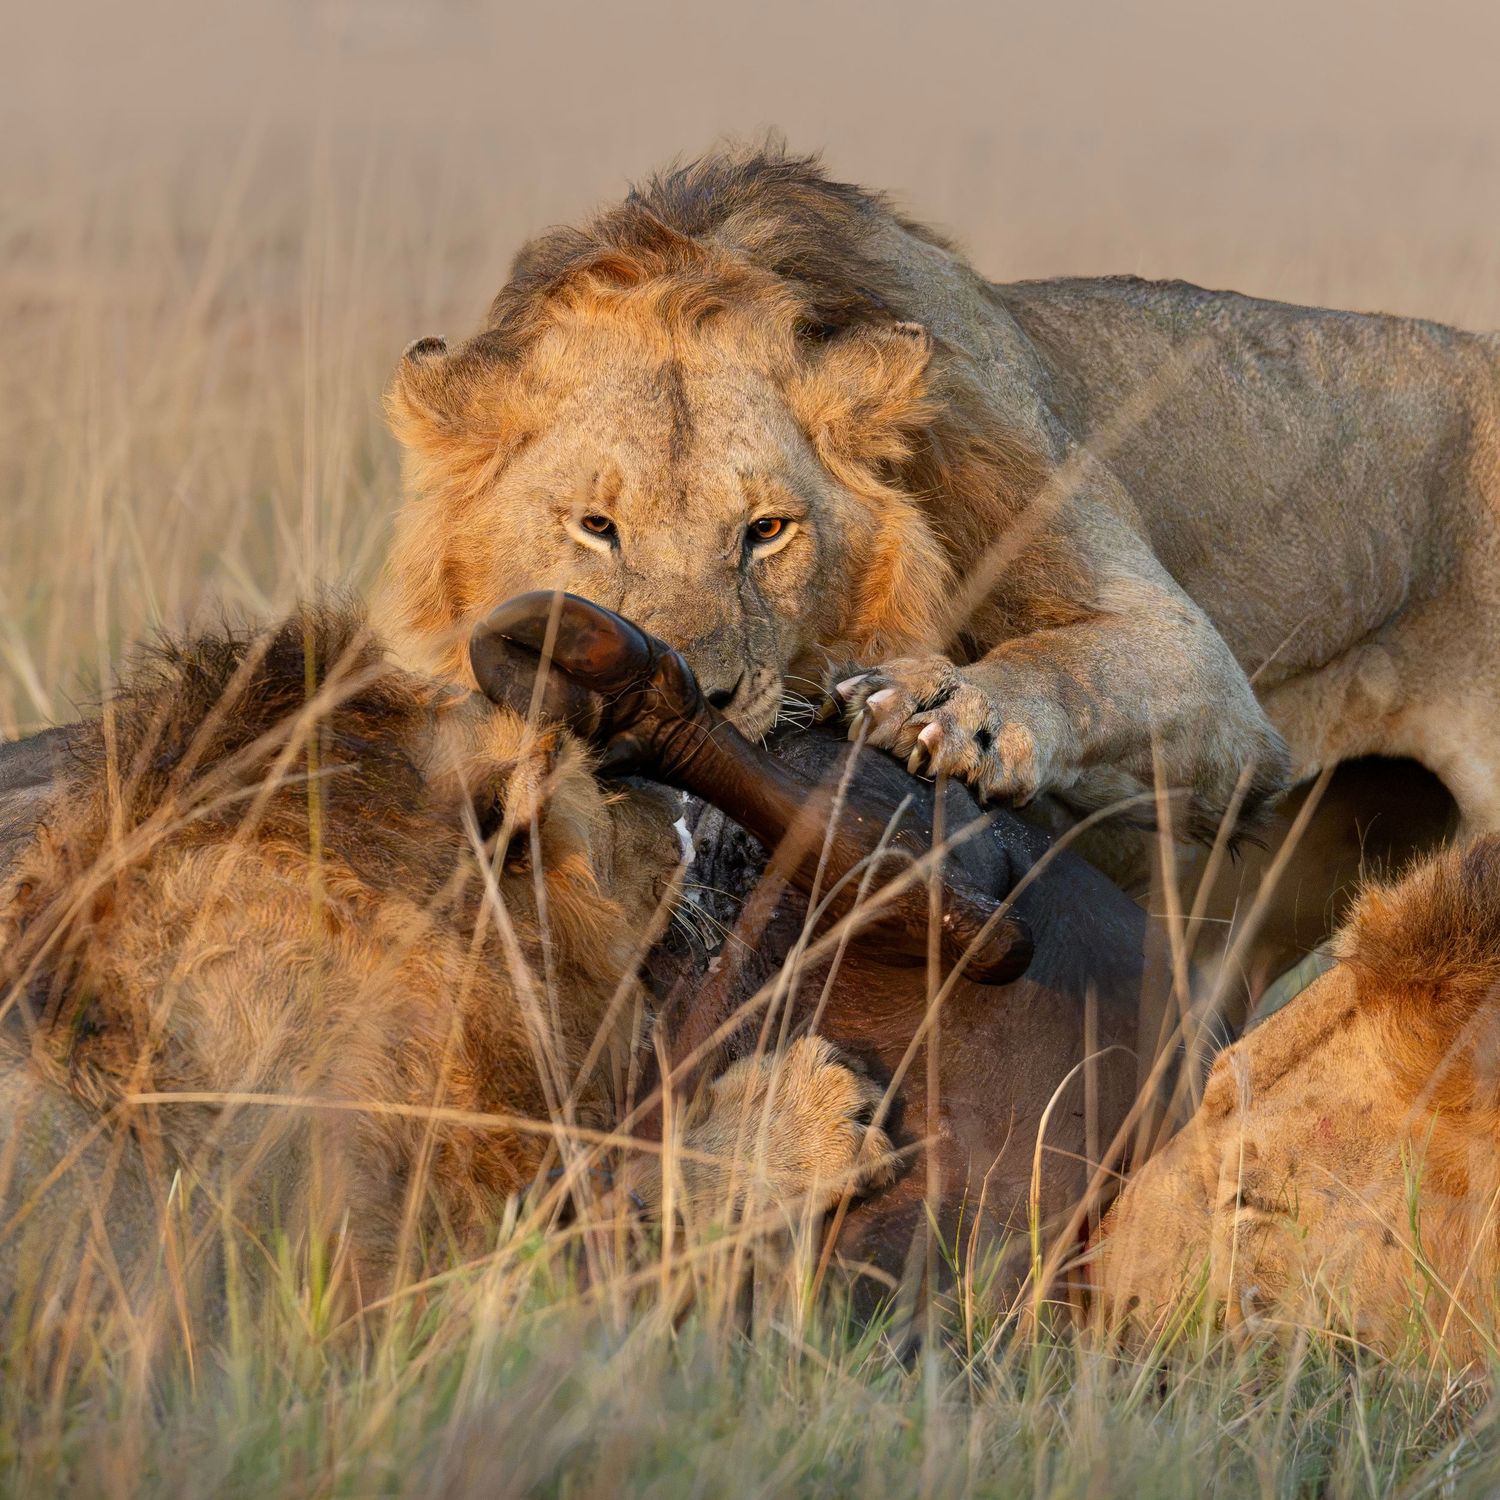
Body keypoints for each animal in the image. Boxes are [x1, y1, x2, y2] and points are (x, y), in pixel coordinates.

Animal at [380, 142, 1500, 852]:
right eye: (597, 527)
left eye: (767, 531)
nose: (677, 695)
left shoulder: (1214, 688)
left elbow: (1073, 661)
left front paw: (947, 703)